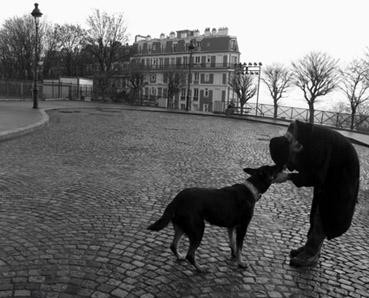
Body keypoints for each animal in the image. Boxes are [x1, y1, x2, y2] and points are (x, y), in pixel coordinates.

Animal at [147, 165, 278, 272]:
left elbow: (233, 243)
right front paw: (240, 263)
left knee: (173, 245)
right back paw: (200, 268)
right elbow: (239, 247)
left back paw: (180, 256)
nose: (280, 165)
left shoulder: (231, 227)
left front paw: (234, 255)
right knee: (190, 254)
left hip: (181, 227)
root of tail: (175, 201)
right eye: (272, 168)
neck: (251, 189)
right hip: (198, 229)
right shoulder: (242, 227)